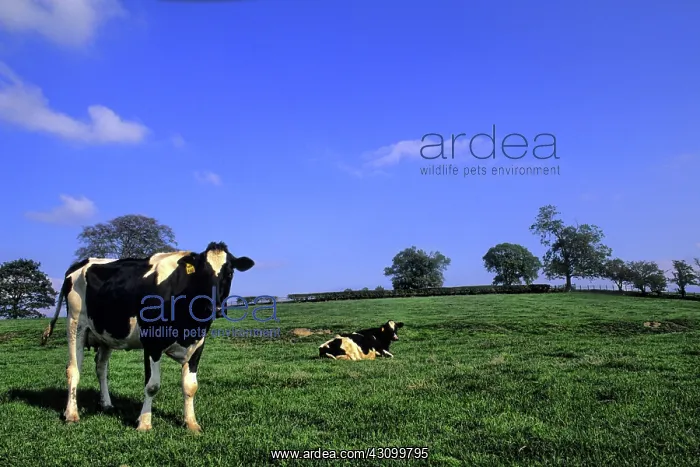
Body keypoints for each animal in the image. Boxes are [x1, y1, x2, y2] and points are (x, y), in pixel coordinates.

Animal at [40, 242, 254, 432]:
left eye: (229, 273)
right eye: (202, 274)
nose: (214, 308)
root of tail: (80, 264)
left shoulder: (197, 345)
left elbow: (190, 386)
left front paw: (191, 424)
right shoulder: (152, 344)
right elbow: (152, 386)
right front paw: (144, 423)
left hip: (105, 335)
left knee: (101, 369)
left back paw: (106, 404)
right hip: (76, 324)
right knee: (73, 370)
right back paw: (71, 414)